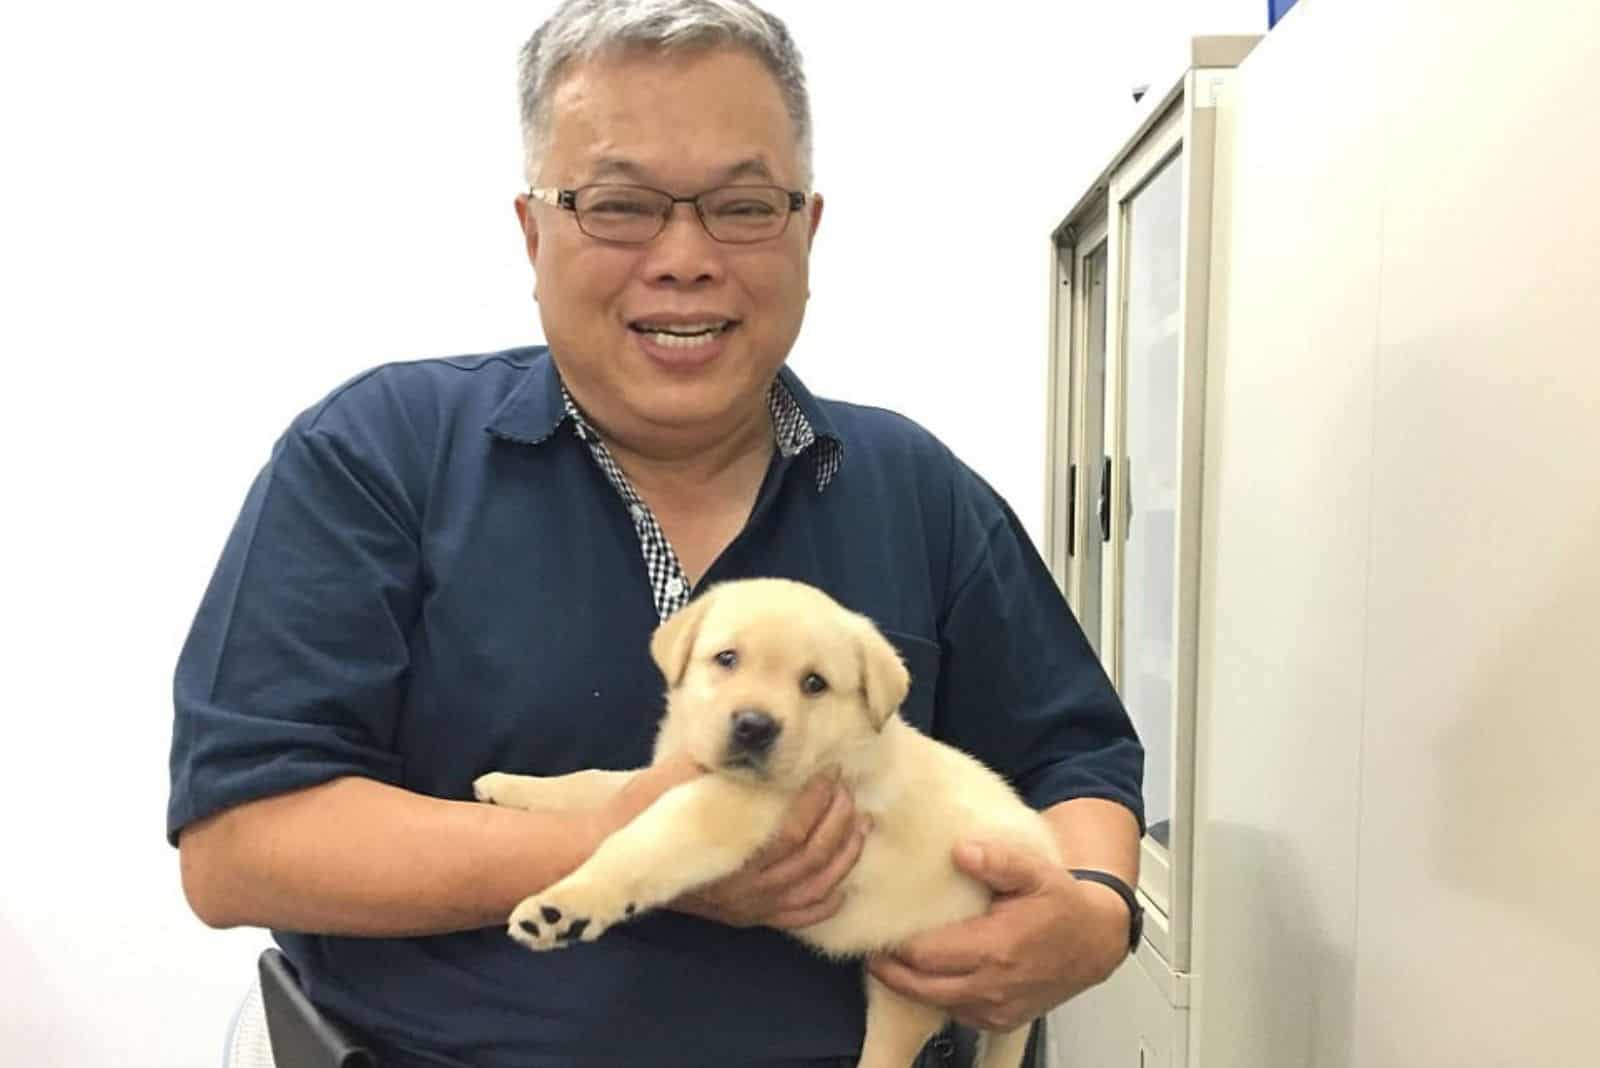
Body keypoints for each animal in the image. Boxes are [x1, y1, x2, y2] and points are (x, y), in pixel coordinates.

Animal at [467, 578, 1056, 1068]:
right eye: (726, 658)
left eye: (814, 683)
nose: (754, 726)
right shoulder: (671, 771)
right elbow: (595, 784)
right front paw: (513, 787)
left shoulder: (727, 809)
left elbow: (643, 842)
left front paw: (566, 906)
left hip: (910, 989)